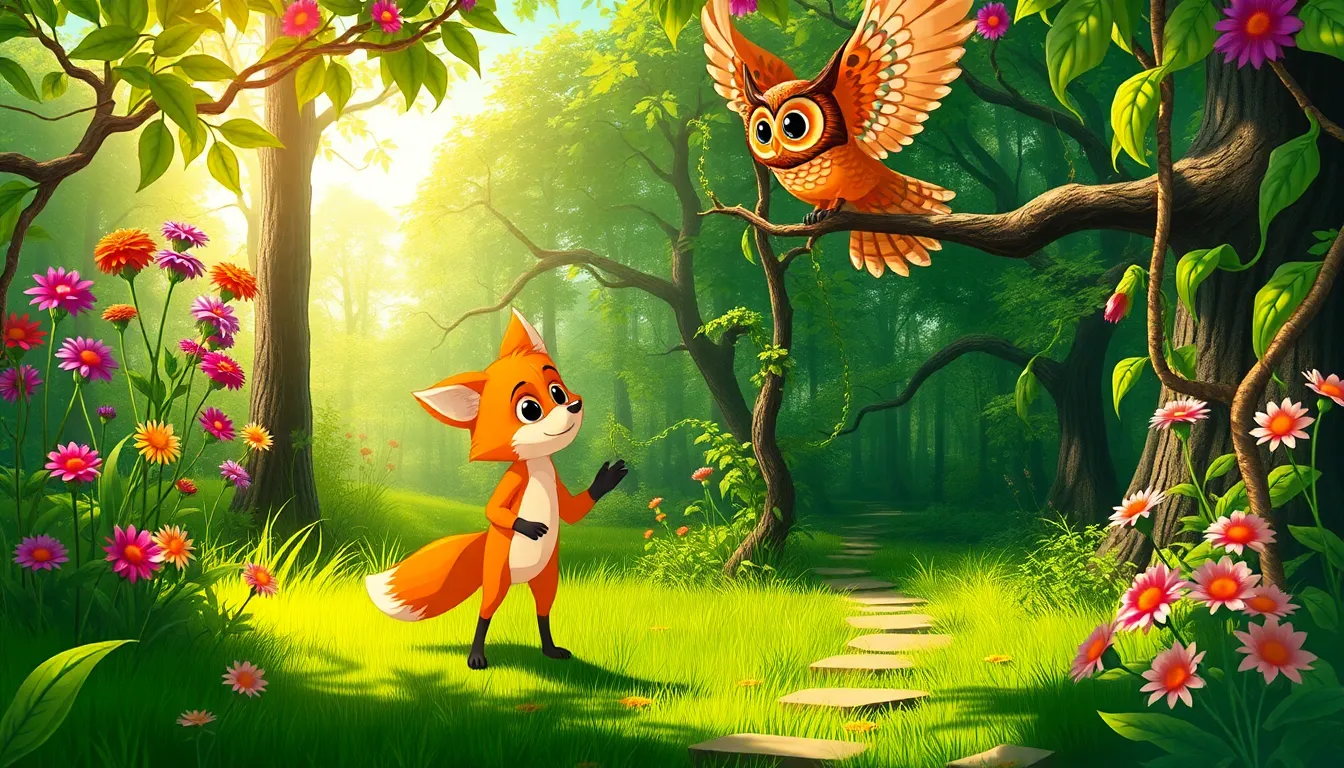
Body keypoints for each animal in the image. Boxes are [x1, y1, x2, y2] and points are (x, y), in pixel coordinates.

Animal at [364, 309, 628, 669]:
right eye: (529, 409)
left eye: (557, 391)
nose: (573, 406)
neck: (537, 464)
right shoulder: (513, 479)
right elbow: (493, 509)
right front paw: (528, 526)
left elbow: (573, 512)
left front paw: (605, 481)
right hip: (498, 576)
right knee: (485, 612)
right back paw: (476, 656)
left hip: (548, 576)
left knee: (543, 611)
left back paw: (550, 650)